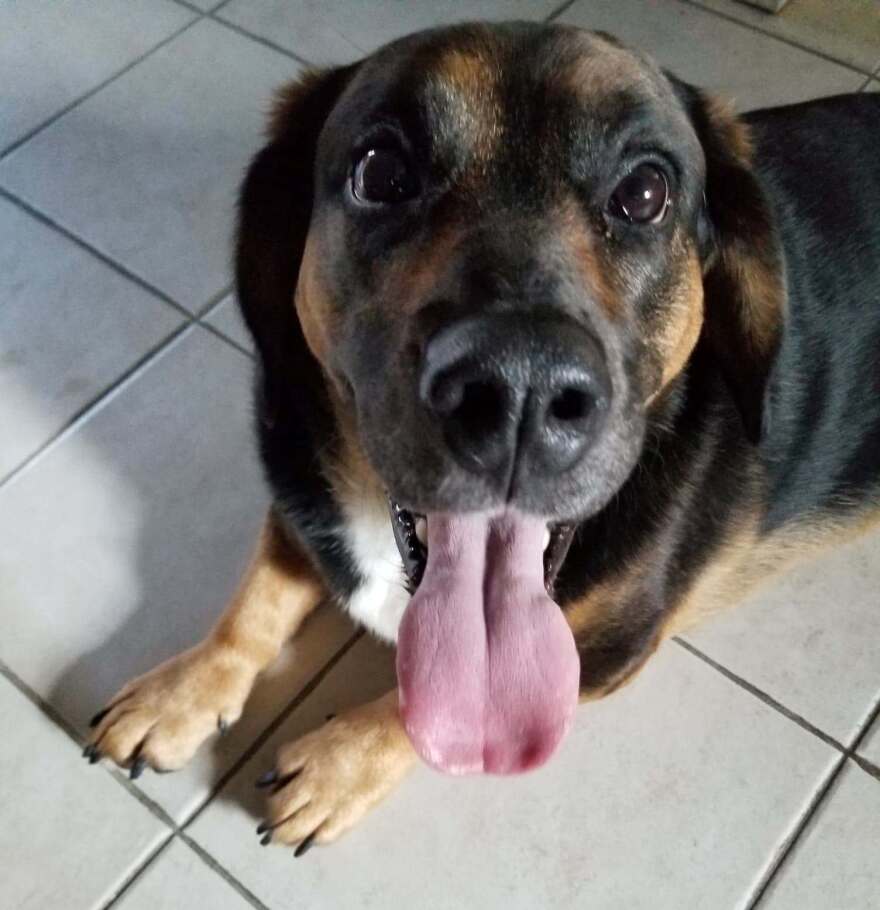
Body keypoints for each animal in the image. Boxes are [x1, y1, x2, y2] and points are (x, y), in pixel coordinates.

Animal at [82, 21, 880, 860]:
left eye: (645, 193)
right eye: (381, 171)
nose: (520, 391)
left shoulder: (612, 647)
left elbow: (436, 711)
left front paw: (337, 767)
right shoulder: (300, 498)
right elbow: (252, 604)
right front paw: (181, 691)